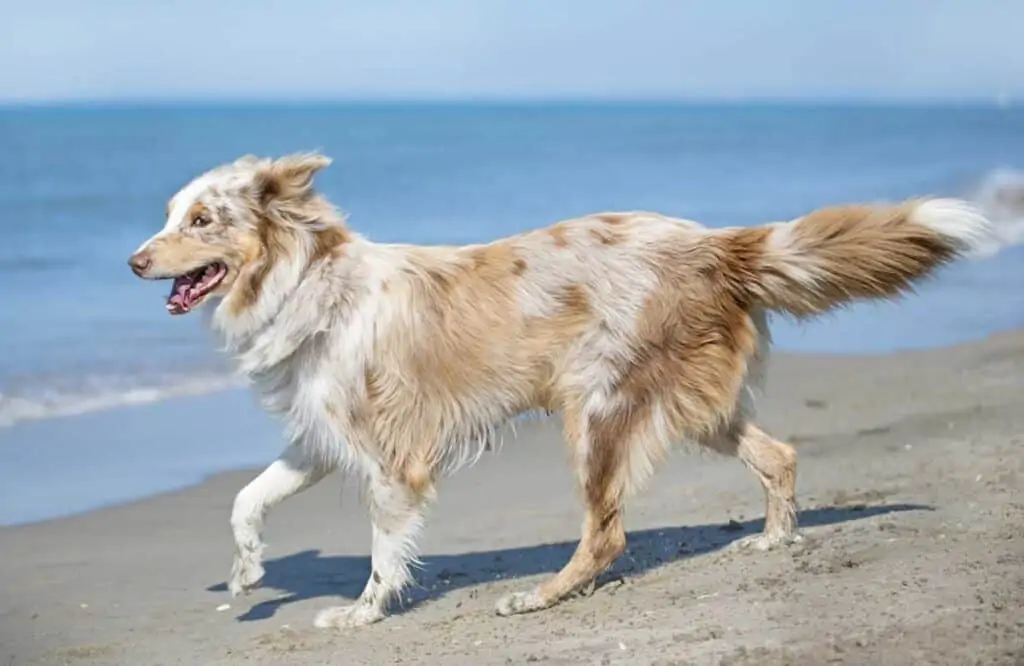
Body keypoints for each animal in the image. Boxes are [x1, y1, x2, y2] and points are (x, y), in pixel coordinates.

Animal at [125, 150, 983, 627]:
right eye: (169, 215)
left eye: (201, 219)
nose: (133, 261)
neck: (308, 281)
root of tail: (712, 241)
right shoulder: (321, 437)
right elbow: (246, 499)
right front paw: (247, 572)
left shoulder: (390, 458)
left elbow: (382, 551)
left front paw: (362, 614)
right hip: (692, 404)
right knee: (779, 454)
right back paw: (772, 539)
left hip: (597, 412)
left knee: (606, 533)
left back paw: (539, 597)